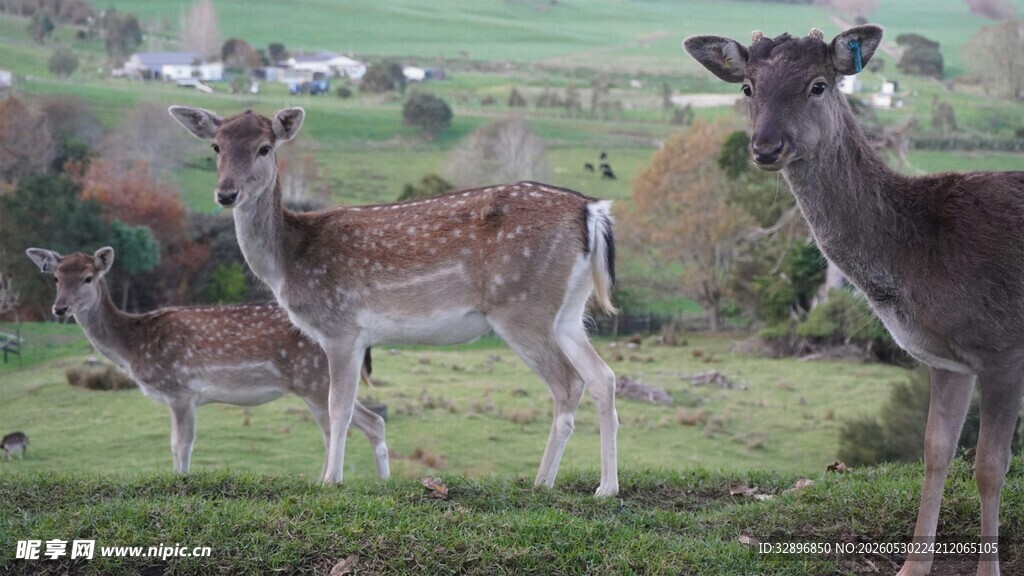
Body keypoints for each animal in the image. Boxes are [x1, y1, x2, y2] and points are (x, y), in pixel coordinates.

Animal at [26, 246, 389, 482]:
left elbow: (181, 444)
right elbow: (177, 444)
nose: (59, 308)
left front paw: (180, 480)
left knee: (365, 422)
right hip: (314, 383)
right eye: (56, 277)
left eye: (88, 278)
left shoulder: (179, 389)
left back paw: (374, 482)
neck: (134, 346)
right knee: (341, 428)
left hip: (314, 380)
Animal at [168, 106, 620, 496]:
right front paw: (330, 476)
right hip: (567, 311)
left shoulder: (341, 326)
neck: (289, 262)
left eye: (265, 147)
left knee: (568, 384)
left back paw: (545, 482)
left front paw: (330, 481)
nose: (226, 193)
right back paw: (605, 487)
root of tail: (592, 211)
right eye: (216, 147)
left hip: (521, 306)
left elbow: (339, 408)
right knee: (603, 377)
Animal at [686, 25, 1023, 576]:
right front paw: (912, 567)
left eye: (818, 84)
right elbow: (935, 453)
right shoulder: (948, 360)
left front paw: (989, 570)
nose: (765, 147)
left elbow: (990, 467)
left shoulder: (1003, 348)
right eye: (748, 87)